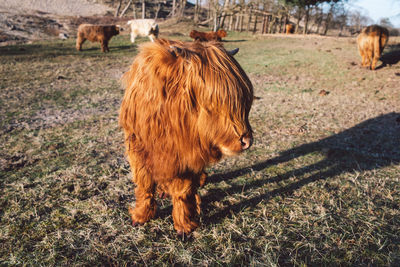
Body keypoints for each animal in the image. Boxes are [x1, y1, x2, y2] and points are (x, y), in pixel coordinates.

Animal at [119, 38, 253, 236]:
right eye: (211, 103)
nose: (246, 141)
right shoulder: (138, 149)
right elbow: (144, 184)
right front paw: (140, 216)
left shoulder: (185, 156)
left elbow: (183, 190)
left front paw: (185, 225)